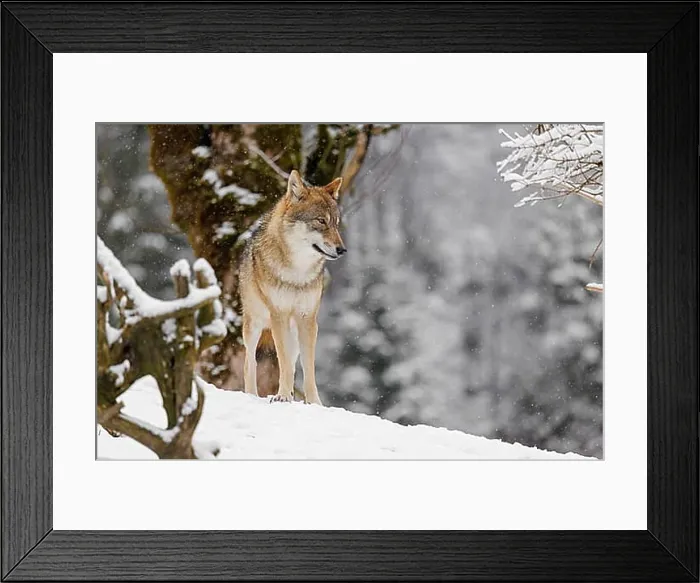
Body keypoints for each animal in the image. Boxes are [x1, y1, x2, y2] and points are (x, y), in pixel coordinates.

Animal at [239, 170, 346, 405]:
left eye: (336, 223)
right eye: (321, 221)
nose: (342, 249)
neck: (298, 273)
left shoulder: (308, 319)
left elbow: (308, 368)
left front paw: (314, 403)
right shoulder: (278, 315)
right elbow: (284, 363)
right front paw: (282, 396)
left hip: (294, 331)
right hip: (254, 325)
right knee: (249, 362)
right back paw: (252, 395)